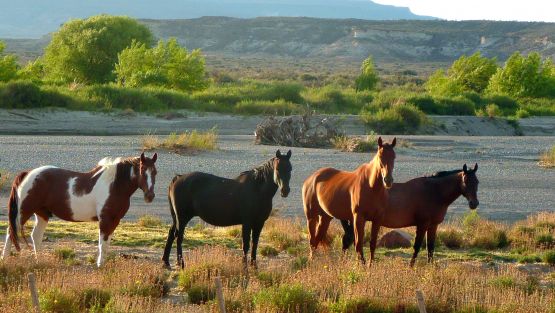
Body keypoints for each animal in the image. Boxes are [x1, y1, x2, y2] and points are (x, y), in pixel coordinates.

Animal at [2, 152, 159, 264]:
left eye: (155, 172)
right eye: (142, 170)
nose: (150, 196)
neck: (114, 184)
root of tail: (27, 174)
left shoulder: (115, 221)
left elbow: (106, 244)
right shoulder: (105, 220)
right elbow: (102, 244)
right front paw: (100, 265)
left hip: (42, 214)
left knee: (36, 236)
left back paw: (39, 261)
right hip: (24, 213)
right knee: (11, 232)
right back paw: (5, 259)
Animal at [163, 149, 294, 268]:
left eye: (290, 169)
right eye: (277, 169)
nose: (285, 191)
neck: (257, 190)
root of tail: (178, 178)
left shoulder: (259, 223)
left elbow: (255, 244)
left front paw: (254, 266)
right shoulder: (247, 223)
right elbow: (246, 245)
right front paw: (244, 266)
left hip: (177, 217)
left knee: (171, 234)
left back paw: (166, 262)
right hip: (182, 218)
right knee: (179, 237)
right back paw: (181, 264)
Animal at [340, 163, 480, 266]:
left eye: (477, 182)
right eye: (465, 181)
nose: (474, 203)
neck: (434, 192)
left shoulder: (433, 225)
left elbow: (430, 247)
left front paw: (431, 267)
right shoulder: (422, 224)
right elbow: (417, 247)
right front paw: (411, 267)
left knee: (348, 240)